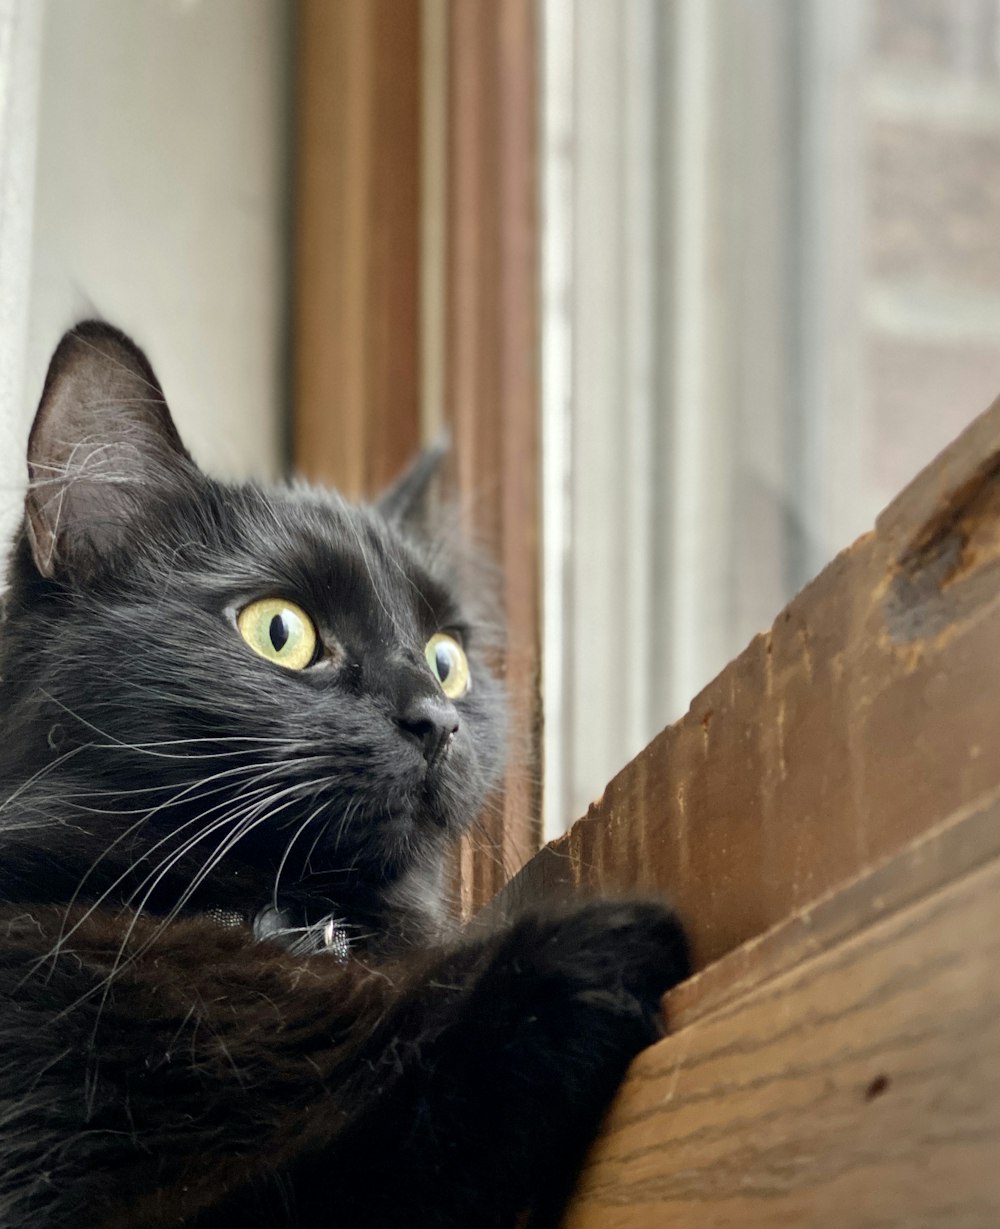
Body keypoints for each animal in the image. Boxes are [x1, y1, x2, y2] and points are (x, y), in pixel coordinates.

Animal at [0, 321, 687, 1224]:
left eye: (446, 659)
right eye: (280, 631)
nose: (437, 719)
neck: (295, 923)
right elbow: (380, 1130)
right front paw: (589, 950)